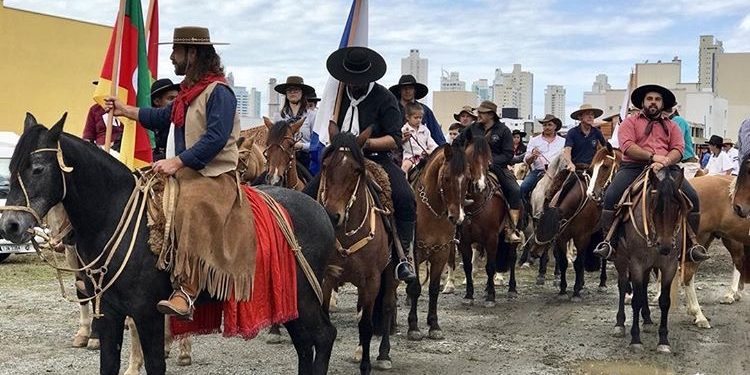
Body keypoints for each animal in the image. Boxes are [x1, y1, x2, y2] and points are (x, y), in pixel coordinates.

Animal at [0, 114, 334, 375]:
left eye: (38, 167)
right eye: (12, 166)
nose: (10, 225)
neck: (117, 218)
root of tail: (320, 211)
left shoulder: (147, 314)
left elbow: (155, 364)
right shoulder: (110, 313)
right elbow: (108, 364)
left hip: (305, 297)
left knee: (323, 337)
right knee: (305, 344)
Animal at [316, 131, 400, 374]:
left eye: (356, 170)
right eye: (325, 164)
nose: (332, 215)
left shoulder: (372, 280)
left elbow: (366, 325)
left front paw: (366, 365)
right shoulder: (327, 276)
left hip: (389, 273)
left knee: (386, 306)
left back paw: (383, 355)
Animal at [406, 142, 470, 342]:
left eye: (468, 178)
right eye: (447, 178)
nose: (457, 217)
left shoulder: (440, 253)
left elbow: (433, 289)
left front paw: (434, 325)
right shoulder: (415, 253)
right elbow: (416, 287)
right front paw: (413, 327)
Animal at [462, 134, 520, 306]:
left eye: (488, 160)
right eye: (469, 158)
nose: (479, 185)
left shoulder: (492, 237)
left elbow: (490, 266)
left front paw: (491, 297)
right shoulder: (464, 240)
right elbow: (468, 267)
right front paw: (469, 295)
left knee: (512, 258)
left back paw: (512, 289)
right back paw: (488, 287)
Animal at [612, 167, 692, 352]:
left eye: (678, 207)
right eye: (654, 206)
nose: (665, 246)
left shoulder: (669, 265)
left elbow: (664, 301)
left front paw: (663, 341)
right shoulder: (636, 263)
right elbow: (635, 300)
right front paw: (635, 340)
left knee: (644, 285)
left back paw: (647, 320)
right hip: (621, 258)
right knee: (622, 285)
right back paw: (620, 324)